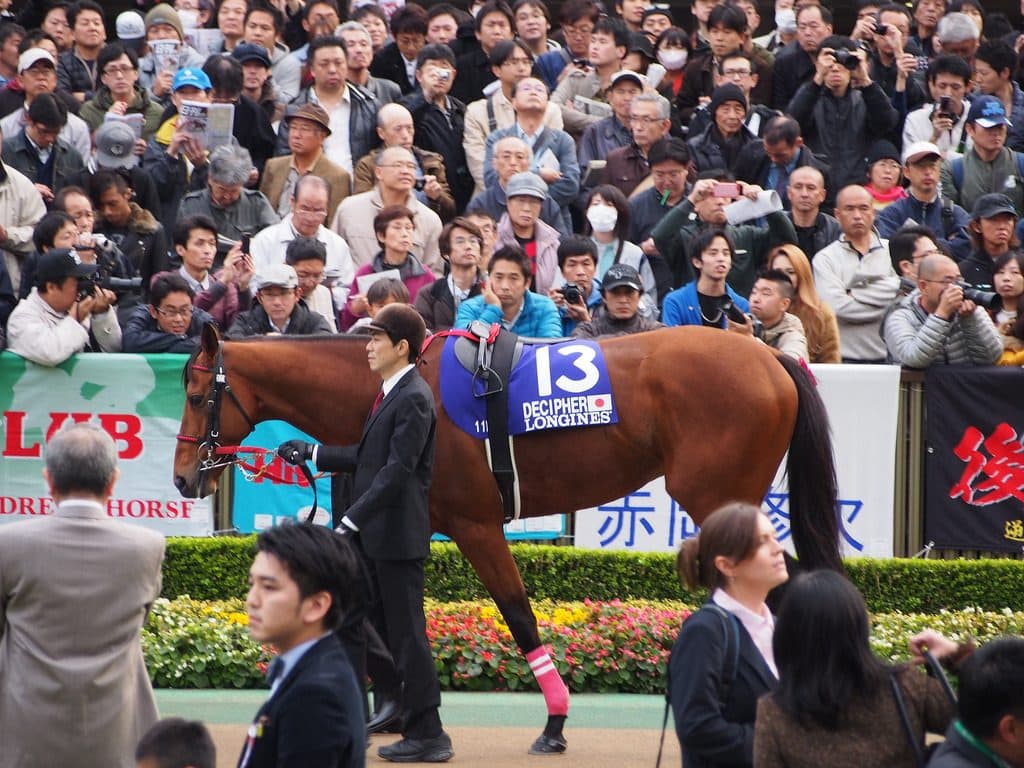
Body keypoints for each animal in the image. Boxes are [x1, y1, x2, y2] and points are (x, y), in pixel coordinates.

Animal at [174, 323, 841, 754]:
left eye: (196, 394)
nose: (184, 479)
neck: (397, 386)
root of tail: (770, 358)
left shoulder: (474, 524)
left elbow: (517, 615)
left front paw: (553, 722)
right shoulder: (401, 515)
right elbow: (377, 608)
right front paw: (394, 711)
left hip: (717, 497)